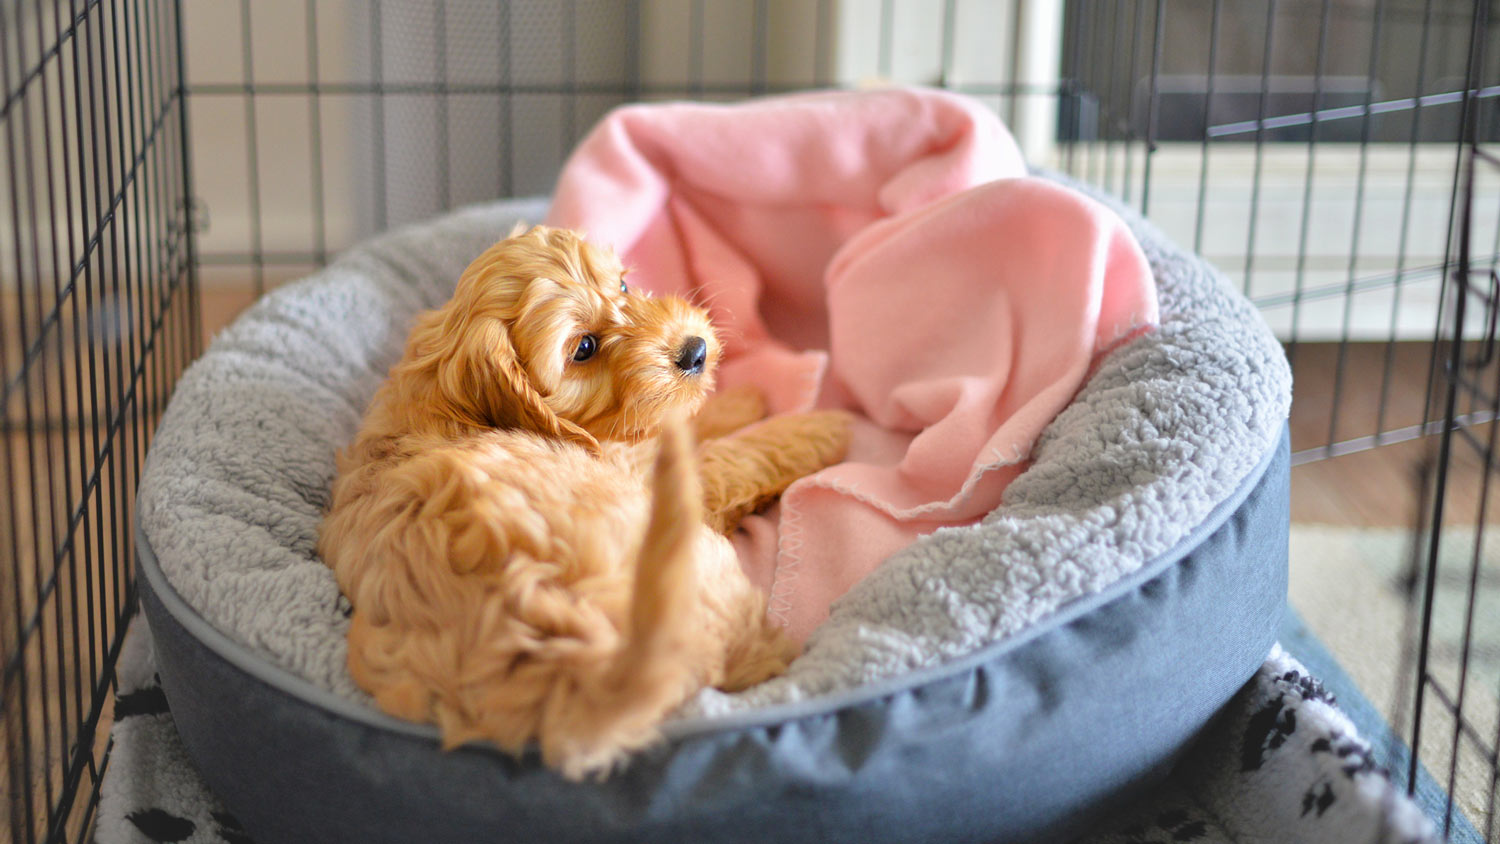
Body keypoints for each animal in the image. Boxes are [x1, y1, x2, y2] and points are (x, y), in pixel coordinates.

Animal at [318, 223, 852, 779]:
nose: (696, 352)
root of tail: (583, 664)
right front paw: (816, 427)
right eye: (585, 347)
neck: (450, 397)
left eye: (623, 285)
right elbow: (732, 456)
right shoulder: (644, 473)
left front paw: (740, 400)